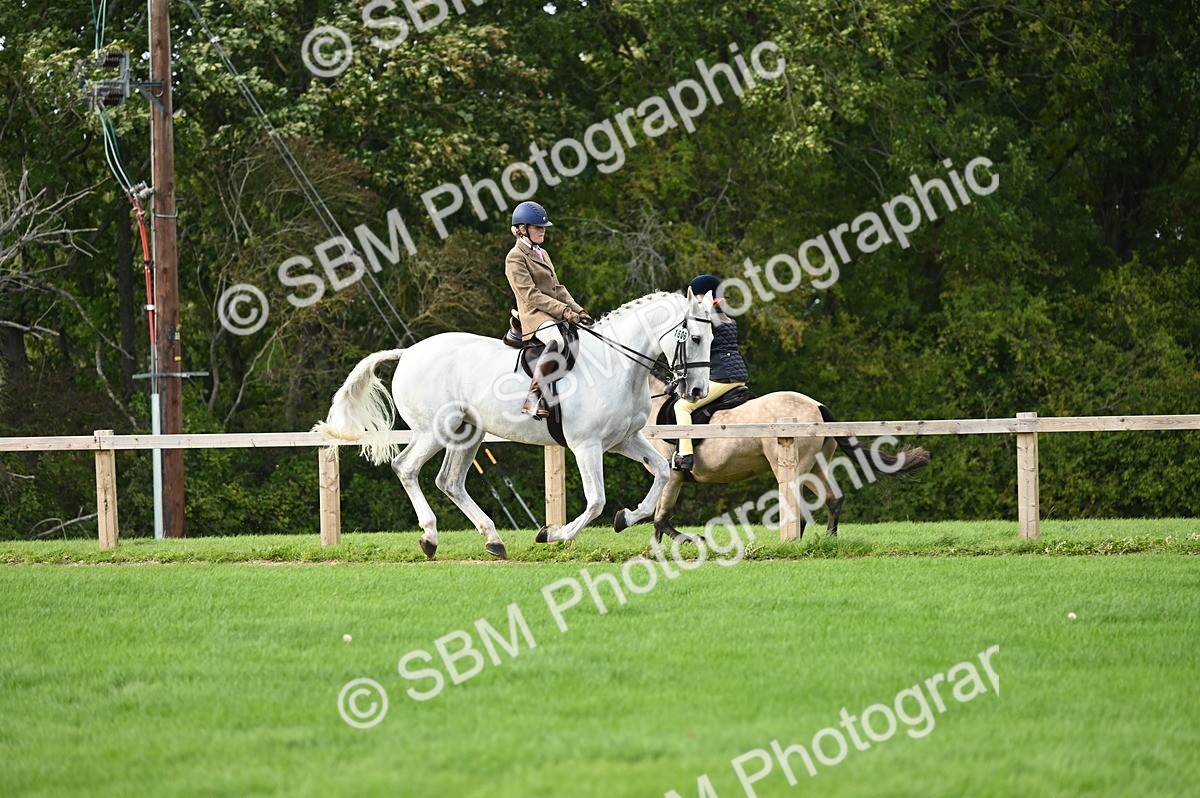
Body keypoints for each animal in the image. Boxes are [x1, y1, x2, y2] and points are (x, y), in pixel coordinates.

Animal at [314, 290, 715, 559]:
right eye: (695, 337)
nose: (697, 390)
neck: (617, 364)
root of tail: (410, 352)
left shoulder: (624, 440)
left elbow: (661, 471)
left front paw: (625, 518)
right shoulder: (586, 445)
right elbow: (596, 501)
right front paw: (553, 535)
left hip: (468, 434)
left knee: (450, 482)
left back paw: (493, 540)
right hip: (434, 431)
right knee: (406, 467)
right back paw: (430, 538)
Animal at [642, 376, 930, 542]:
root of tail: (817, 406)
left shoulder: (673, 476)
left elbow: (661, 520)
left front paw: (690, 541)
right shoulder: (670, 479)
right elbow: (658, 523)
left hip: (792, 468)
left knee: (799, 511)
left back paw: (793, 545)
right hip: (814, 466)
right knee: (833, 499)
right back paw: (827, 541)